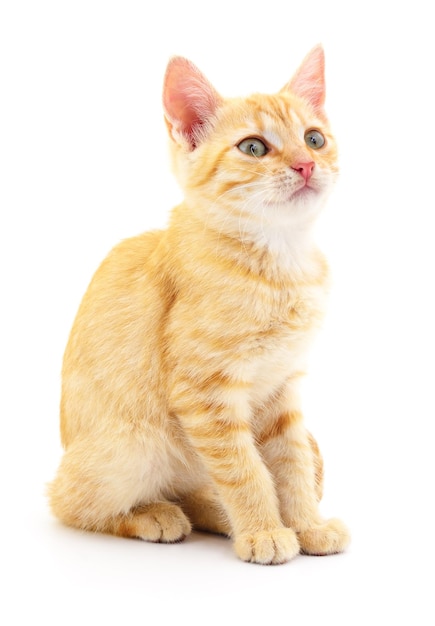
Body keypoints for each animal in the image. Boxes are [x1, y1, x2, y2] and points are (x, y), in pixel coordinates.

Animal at [48, 44, 350, 560]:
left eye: (314, 139)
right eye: (254, 147)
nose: (306, 166)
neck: (281, 259)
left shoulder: (283, 389)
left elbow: (290, 465)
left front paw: (306, 525)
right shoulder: (205, 392)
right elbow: (244, 469)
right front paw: (264, 532)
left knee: (197, 489)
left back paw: (213, 514)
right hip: (133, 448)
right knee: (68, 502)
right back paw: (154, 514)